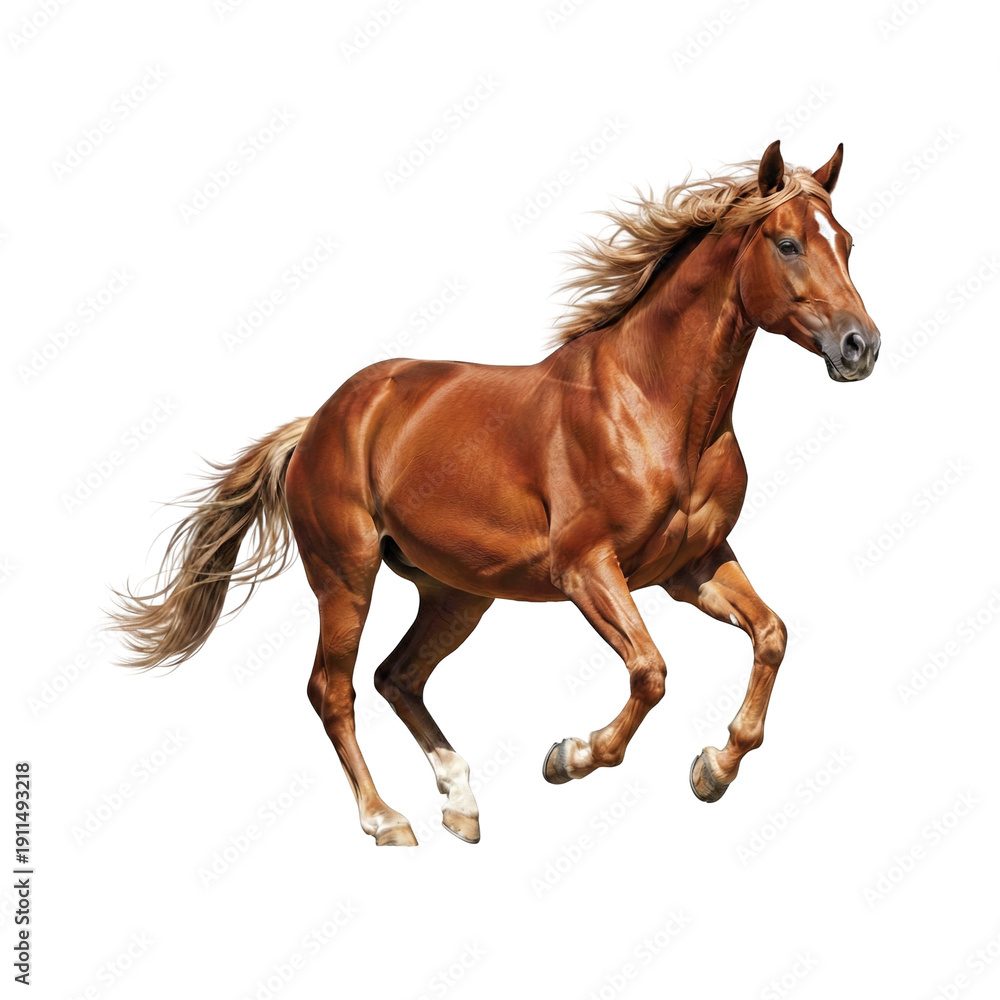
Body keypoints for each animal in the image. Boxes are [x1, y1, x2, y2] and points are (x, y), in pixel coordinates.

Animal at [111, 141, 880, 847]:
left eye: (845, 241)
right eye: (787, 243)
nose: (860, 347)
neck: (654, 409)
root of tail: (322, 420)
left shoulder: (691, 568)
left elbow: (771, 635)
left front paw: (714, 768)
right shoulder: (587, 568)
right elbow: (651, 671)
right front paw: (570, 757)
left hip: (457, 593)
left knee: (397, 676)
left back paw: (461, 804)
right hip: (346, 577)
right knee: (333, 688)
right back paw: (386, 819)